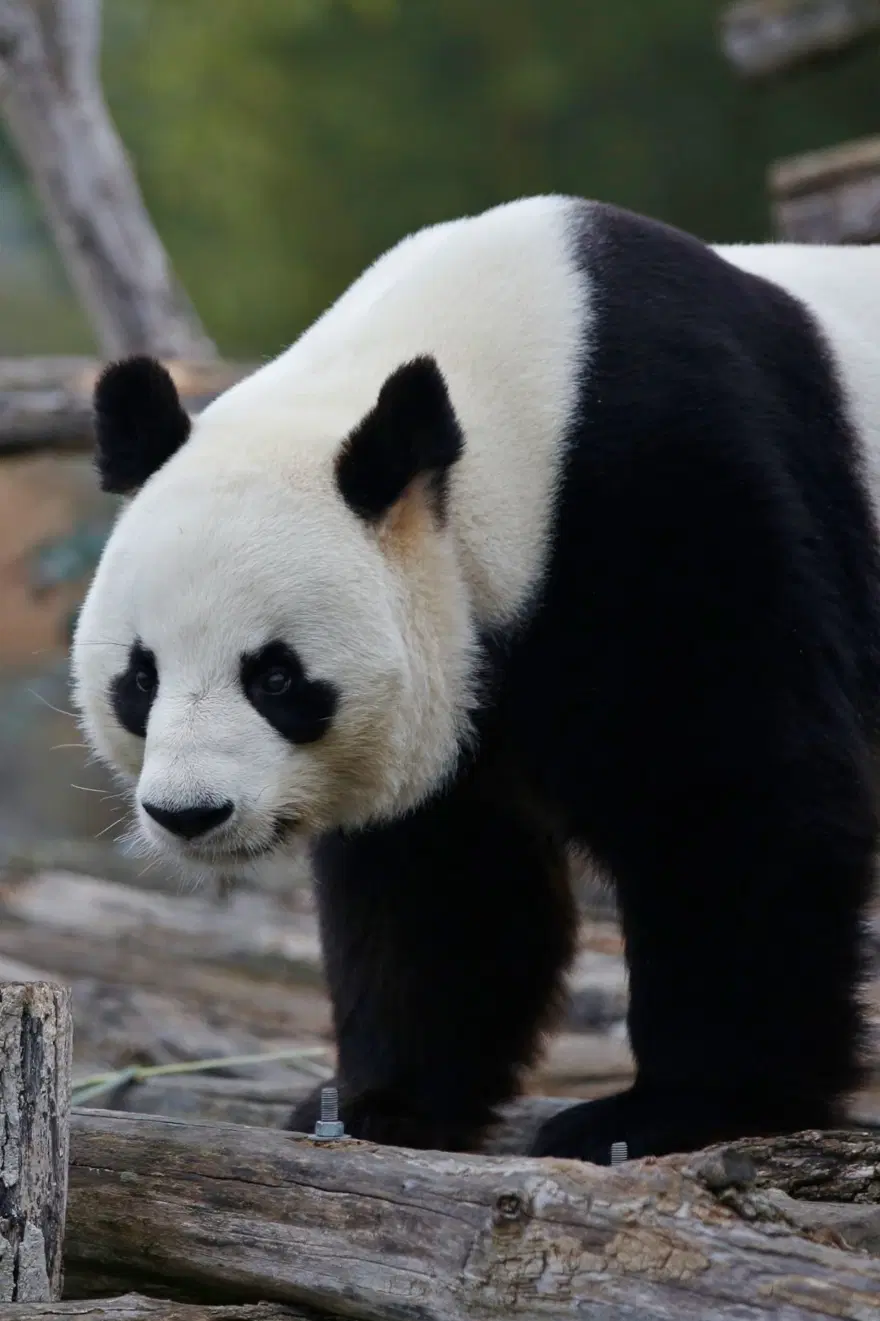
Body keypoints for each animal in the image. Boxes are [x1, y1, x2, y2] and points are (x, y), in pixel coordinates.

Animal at [71, 195, 880, 1164]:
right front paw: (376, 1104)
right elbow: (445, 881)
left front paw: (679, 1112)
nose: (190, 813)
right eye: (139, 678)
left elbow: (738, 800)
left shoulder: (680, 494)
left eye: (276, 677)